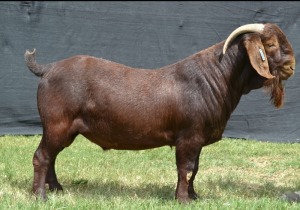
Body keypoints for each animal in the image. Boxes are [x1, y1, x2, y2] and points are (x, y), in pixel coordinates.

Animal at [24, 22, 296, 202]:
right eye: (270, 44)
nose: (292, 65)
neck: (215, 77)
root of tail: (48, 68)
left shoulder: (197, 139)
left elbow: (195, 168)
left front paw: (194, 197)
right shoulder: (189, 136)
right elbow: (186, 168)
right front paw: (183, 199)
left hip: (65, 129)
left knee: (52, 156)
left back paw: (57, 189)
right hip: (57, 123)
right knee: (42, 156)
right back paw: (40, 196)